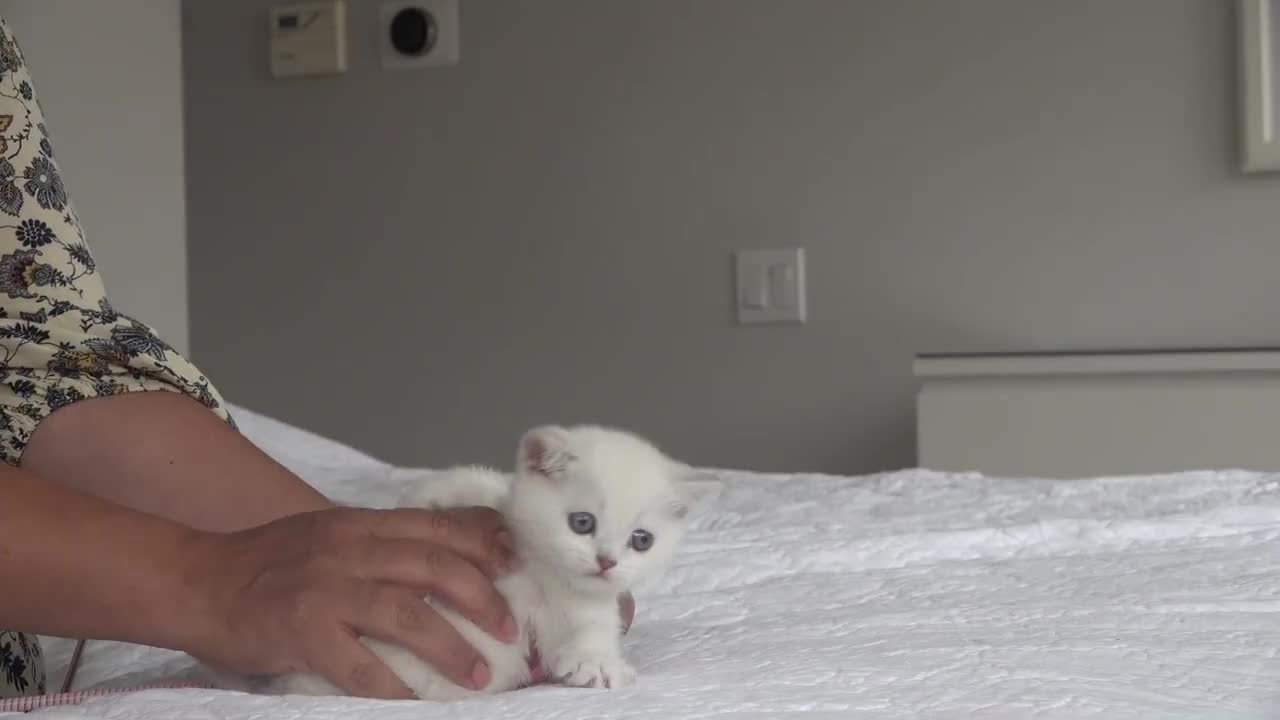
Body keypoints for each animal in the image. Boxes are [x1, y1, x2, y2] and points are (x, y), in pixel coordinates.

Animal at [259, 420, 721, 696]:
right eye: (582, 522)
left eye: (641, 540)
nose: (606, 561)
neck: (543, 577)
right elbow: (470, 491)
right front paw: (441, 500)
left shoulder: (584, 608)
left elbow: (591, 632)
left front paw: (596, 665)